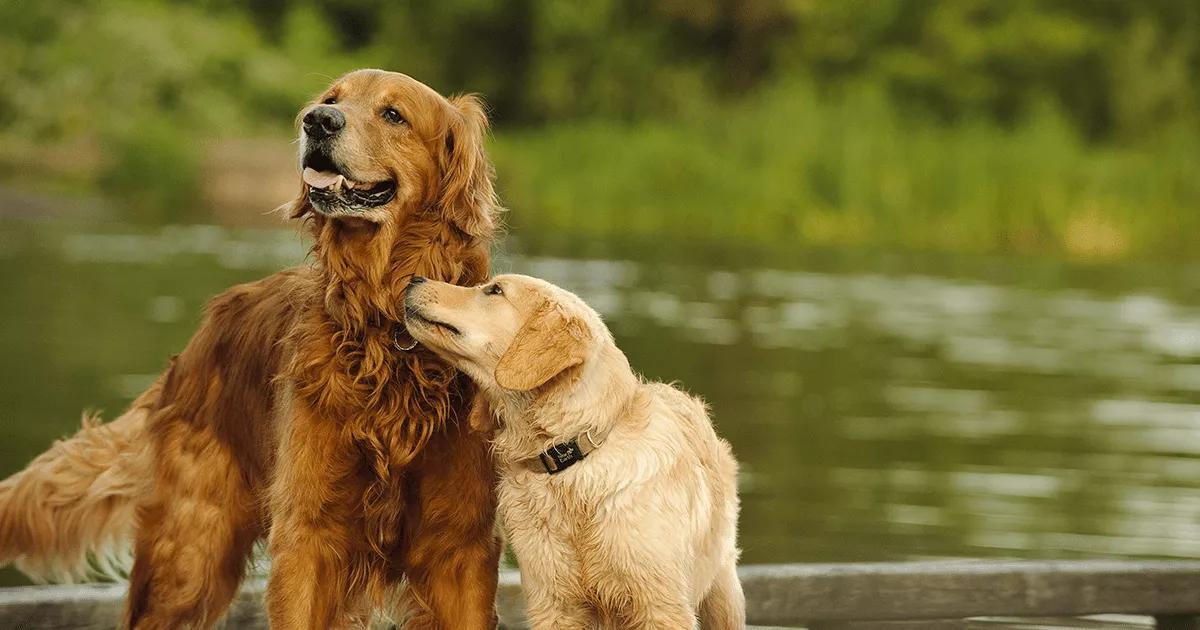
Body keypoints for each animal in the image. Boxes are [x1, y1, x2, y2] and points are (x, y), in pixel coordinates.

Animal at [405, 274, 739, 628]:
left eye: (494, 290)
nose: (414, 279)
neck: (570, 458)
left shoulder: (661, 605)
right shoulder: (552, 602)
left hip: (723, 594)